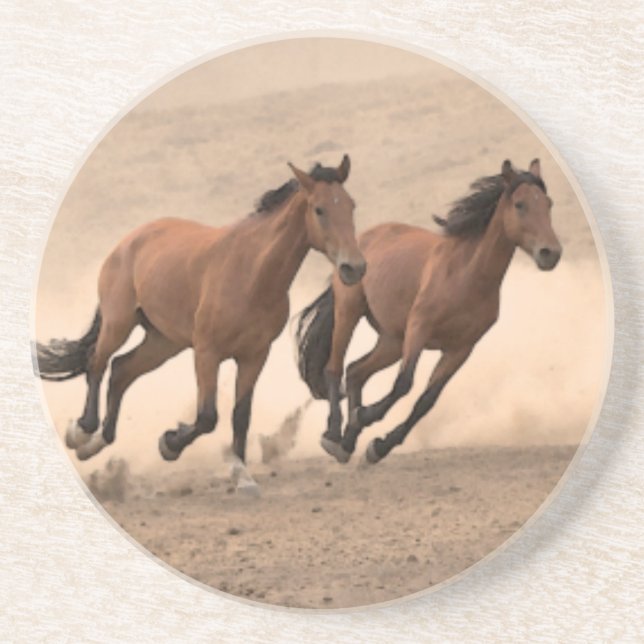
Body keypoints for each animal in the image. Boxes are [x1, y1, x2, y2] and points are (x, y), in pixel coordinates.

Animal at [37, 155, 365, 492]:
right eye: (320, 209)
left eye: (350, 205)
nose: (354, 267)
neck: (252, 273)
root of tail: (129, 241)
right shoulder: (207, 352)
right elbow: (207, 417)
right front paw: (170, 443)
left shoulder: (254, 356)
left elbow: (241, 415)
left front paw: (242, 475)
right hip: (119, 323)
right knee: (97, 363)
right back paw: (81, 433)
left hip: (163, 342)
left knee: (121, 370)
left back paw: (97, 443)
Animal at [295, 159, 561, 465]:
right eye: (520, 204)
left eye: (548, 204)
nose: (550, 253)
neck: (467, 276)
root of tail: (357, 242)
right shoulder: (419, 329)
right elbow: (404, 384)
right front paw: (366, 417)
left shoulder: (461, 349)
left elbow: (426, 401)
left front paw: (379, 446)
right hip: (350, 312)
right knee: (335, 368)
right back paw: (333, 435)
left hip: (392, 341)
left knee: (355, 372)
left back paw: (348, 442)